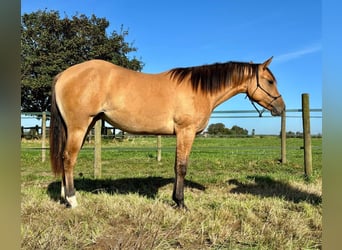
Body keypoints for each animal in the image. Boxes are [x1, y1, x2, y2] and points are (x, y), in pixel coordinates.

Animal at [49, 57, 284, 209]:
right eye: (270, 81)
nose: (281, 107)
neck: (198, 90)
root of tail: (64, 74)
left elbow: (177, 166)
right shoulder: (186, 132)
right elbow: (181, 167)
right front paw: (180, 203)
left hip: (82, 126)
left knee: (64, 159)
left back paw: (64, 197)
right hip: (79, 126)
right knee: (69, 159)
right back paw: (72, 200)